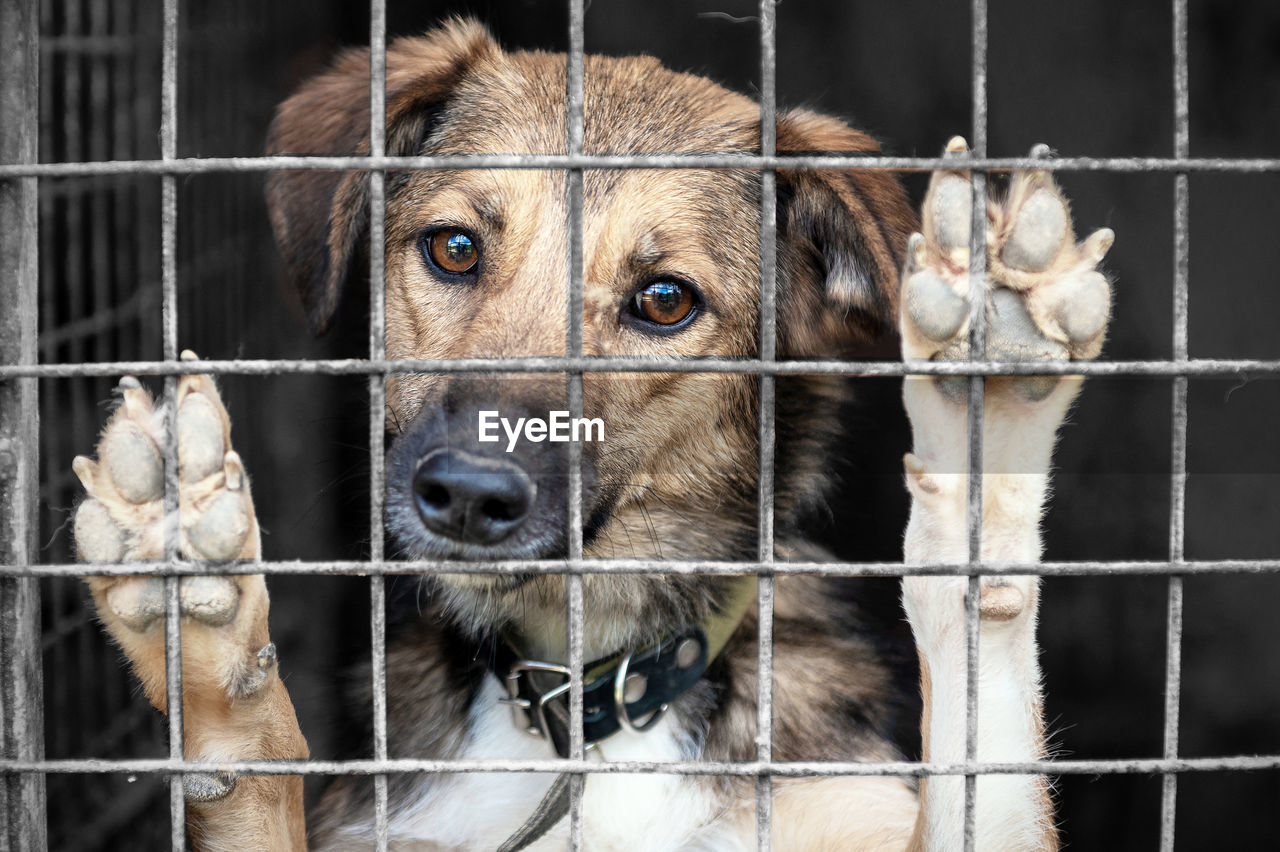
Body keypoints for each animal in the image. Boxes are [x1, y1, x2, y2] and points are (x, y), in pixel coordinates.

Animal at [70, 16, 1116, 844]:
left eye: (664, 300)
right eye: (454, 248)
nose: (469, 495)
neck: (586, 709)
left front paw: (988, 402)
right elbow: (248, 771)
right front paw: (198, 619)